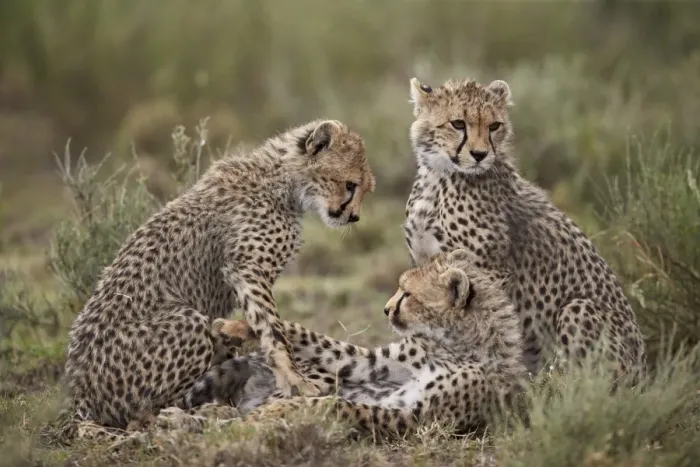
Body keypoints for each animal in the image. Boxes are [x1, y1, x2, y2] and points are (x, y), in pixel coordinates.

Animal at [64, 118, 376, 431]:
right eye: (350, 185)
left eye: (363, 189)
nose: (354, 217)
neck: (280, 179)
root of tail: (79, 393)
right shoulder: (247, 267)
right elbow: (272, 328)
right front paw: (296, 380)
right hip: (187, 321)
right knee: (143, 414)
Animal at [180, 249, 529, 439]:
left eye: (407, 295)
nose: (386, 309)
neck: (451, 343)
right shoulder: (374, 362)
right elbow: (318, 341)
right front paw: (238, 326)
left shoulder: (417, 416)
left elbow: (339, 405)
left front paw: (284, 409)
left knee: (229, 419)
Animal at [403, 76, 646, 383]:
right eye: (458, 124)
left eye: (494, 126)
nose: (480, 154)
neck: (438, 177)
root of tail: (643, 366)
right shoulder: (423, 263)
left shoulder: (487, 272)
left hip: (577, 309)